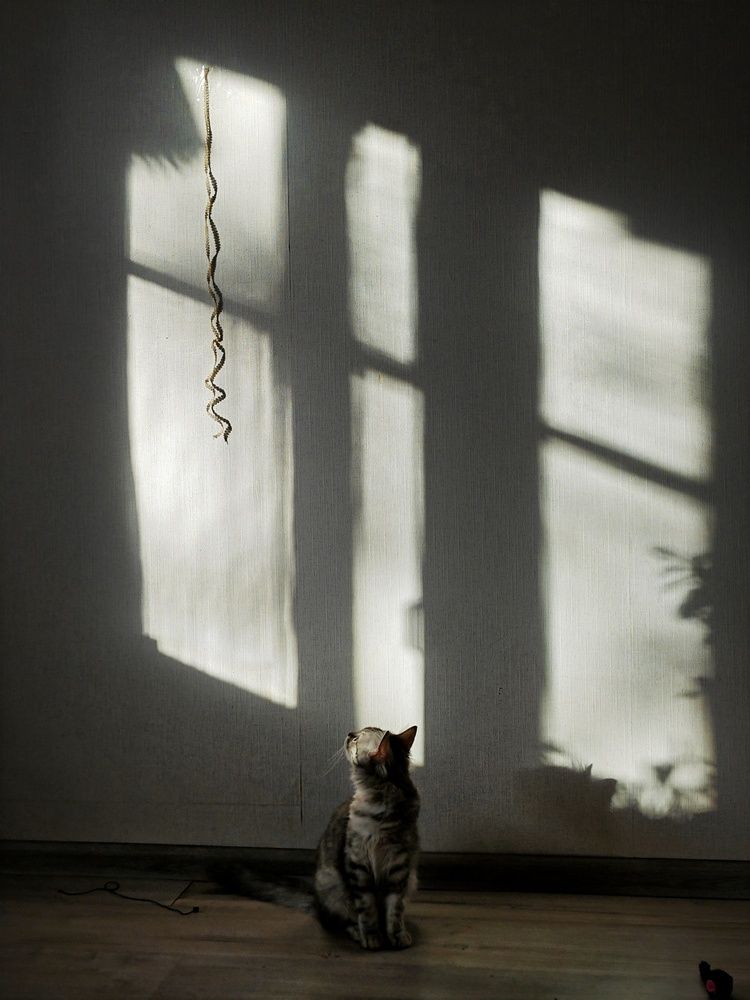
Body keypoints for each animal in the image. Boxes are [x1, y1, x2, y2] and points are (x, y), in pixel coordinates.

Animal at [217, 725, 420, 950]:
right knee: (338, 921)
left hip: (411, 880)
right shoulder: (357, 866)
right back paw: (356, 932)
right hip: (332, 886)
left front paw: (397, 936)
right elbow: (367, 909)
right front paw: (372, 936)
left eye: (357, 739)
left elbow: (394, 910)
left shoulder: (399, 868)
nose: (349, 733)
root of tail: (315, 898)